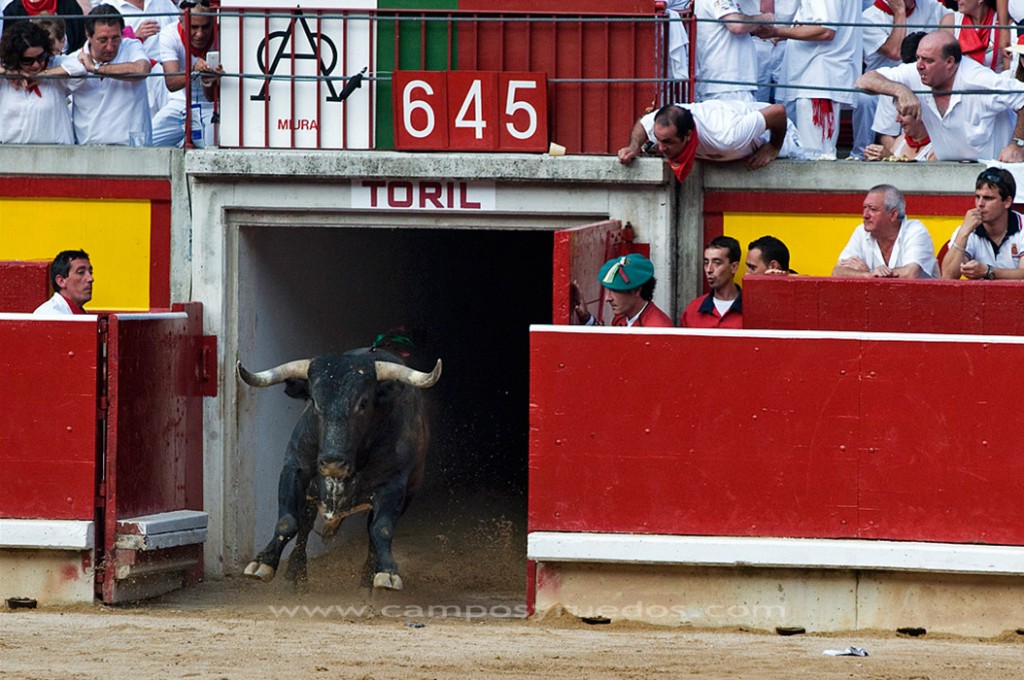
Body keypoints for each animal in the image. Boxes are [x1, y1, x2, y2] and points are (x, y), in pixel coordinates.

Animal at [237, 350, 442, 589]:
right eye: (314, 401)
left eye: (363, 402)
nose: (332, 462)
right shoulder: (294, 469)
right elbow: (287, 521)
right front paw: (264, 562)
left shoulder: (393, 486)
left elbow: (382, 528)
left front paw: (386, 573)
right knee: (305, 525)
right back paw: (296, 575)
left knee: (372, 532)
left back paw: (366, 579)